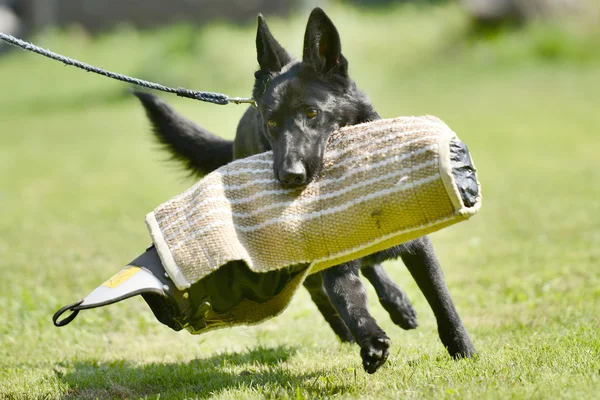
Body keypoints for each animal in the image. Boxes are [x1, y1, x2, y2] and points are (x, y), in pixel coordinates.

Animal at [134, 7, 476, 374]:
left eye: (312, 113)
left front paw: (464, 350)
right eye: (271, 122)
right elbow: (346, 299)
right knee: (322, 290)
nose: (291, 176)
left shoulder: (419, 247)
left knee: (371, 266)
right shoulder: (331, 263)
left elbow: (442, 303)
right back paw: (352, 329)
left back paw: (398, 304)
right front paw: (369, 340)